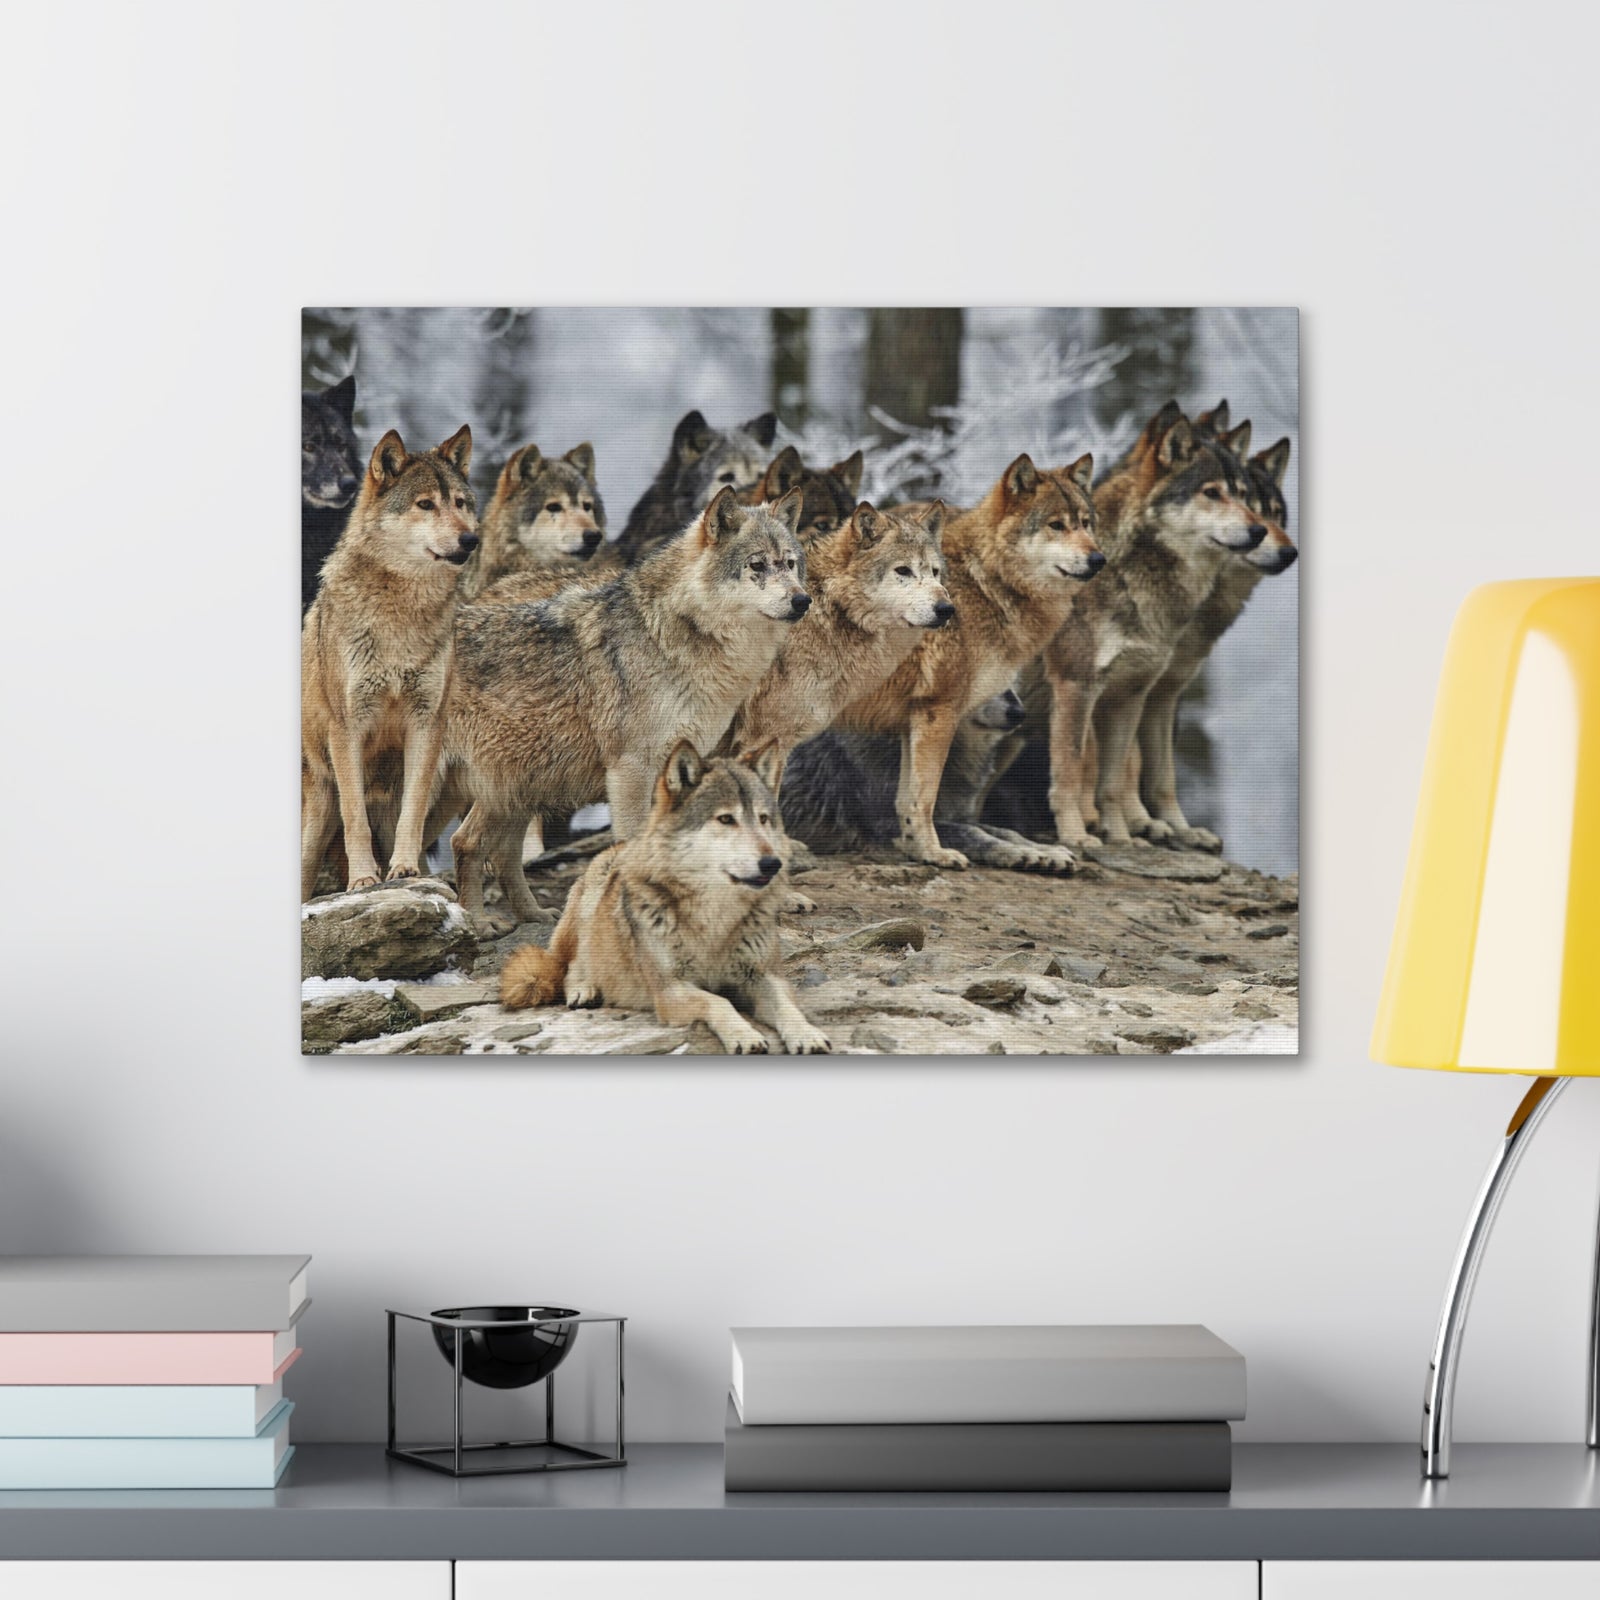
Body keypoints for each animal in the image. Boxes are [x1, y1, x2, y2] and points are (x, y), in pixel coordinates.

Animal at [301, 425, 478, 899]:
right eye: (425, 504)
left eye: (460, 503)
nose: (471, 539)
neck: (402, 615)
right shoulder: (348, 728)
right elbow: (356, 820)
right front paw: (364, 878)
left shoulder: (427, 723)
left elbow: (411, 812)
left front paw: (404, 870)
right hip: (315, 816)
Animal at [441, 486, 809, 929]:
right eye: (757, 565)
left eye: (790, 564)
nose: (803, 600)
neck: (678, 634)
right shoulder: (631, 769)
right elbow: (634, 843)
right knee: (466, 842)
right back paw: (478, 922)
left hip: (519, 786)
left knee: (487, 847)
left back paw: (533, 915)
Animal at [498, 742, 828, 1054]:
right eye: (725, 819)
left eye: (763, 819)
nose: (772, 864)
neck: (715, 918)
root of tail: (617, 846)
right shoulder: (670, 991)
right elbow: (718, 1002)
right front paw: (745, 1036)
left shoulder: (762, 976)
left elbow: (788, 1007)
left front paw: (807, 1035)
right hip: (590, 901)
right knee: (570, 963)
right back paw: (584, 989)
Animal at [829, 453, 1103, 868]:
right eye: (1056, 525)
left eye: (1086, 523)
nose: (1098, 559)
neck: (987, 583)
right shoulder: (939, 710)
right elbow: (925, 798)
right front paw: (934, 852)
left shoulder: (915, 718)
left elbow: (910, 800)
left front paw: (916, 850)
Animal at [1036, 406, 1265, 849]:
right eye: (1212, 493)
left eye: (1244, 496)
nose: (1260, 531)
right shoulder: (1077, 686)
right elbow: (1072, 771)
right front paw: (1076, 836)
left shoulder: (1140, 693)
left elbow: (1126, 778)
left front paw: (1126, 838)